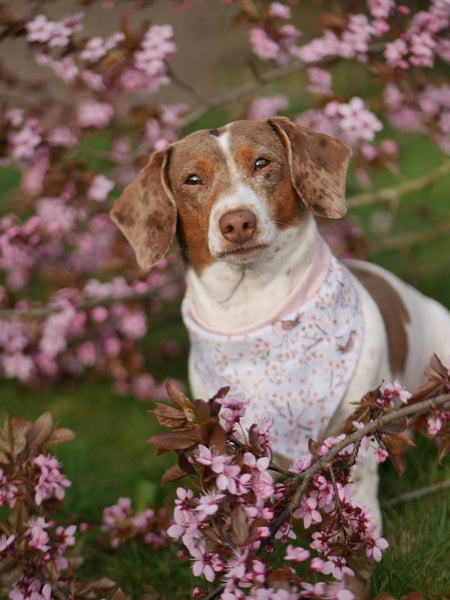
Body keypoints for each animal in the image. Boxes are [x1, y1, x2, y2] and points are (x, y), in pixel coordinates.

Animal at [110, 117, 450, 524]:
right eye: (192, 179)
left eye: (262, 162)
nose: (237, 222)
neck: (254, 305)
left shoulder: (360, 421)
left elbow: (361, 477)